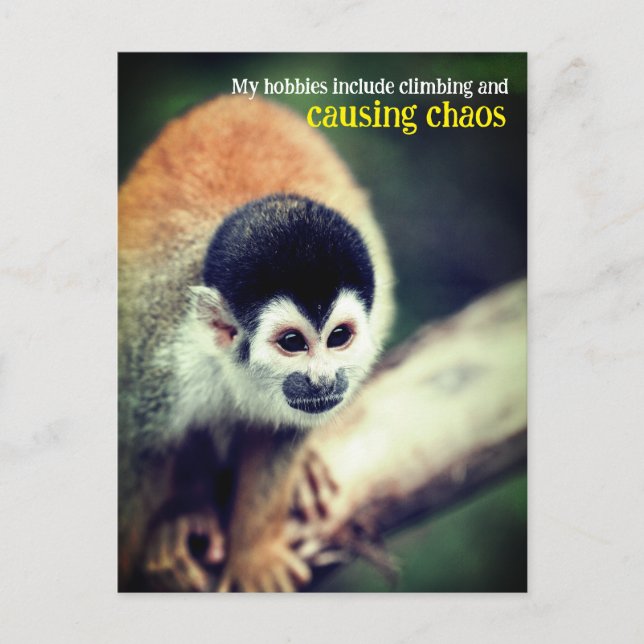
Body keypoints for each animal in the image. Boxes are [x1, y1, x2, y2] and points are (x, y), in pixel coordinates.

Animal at [118, 95, 395, 591]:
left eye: (338, 337)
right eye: (292, 342)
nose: (323, 379)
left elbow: (281, 436)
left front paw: (254, 554)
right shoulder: (155, 365)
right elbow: (136, 452)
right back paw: (185, 512)